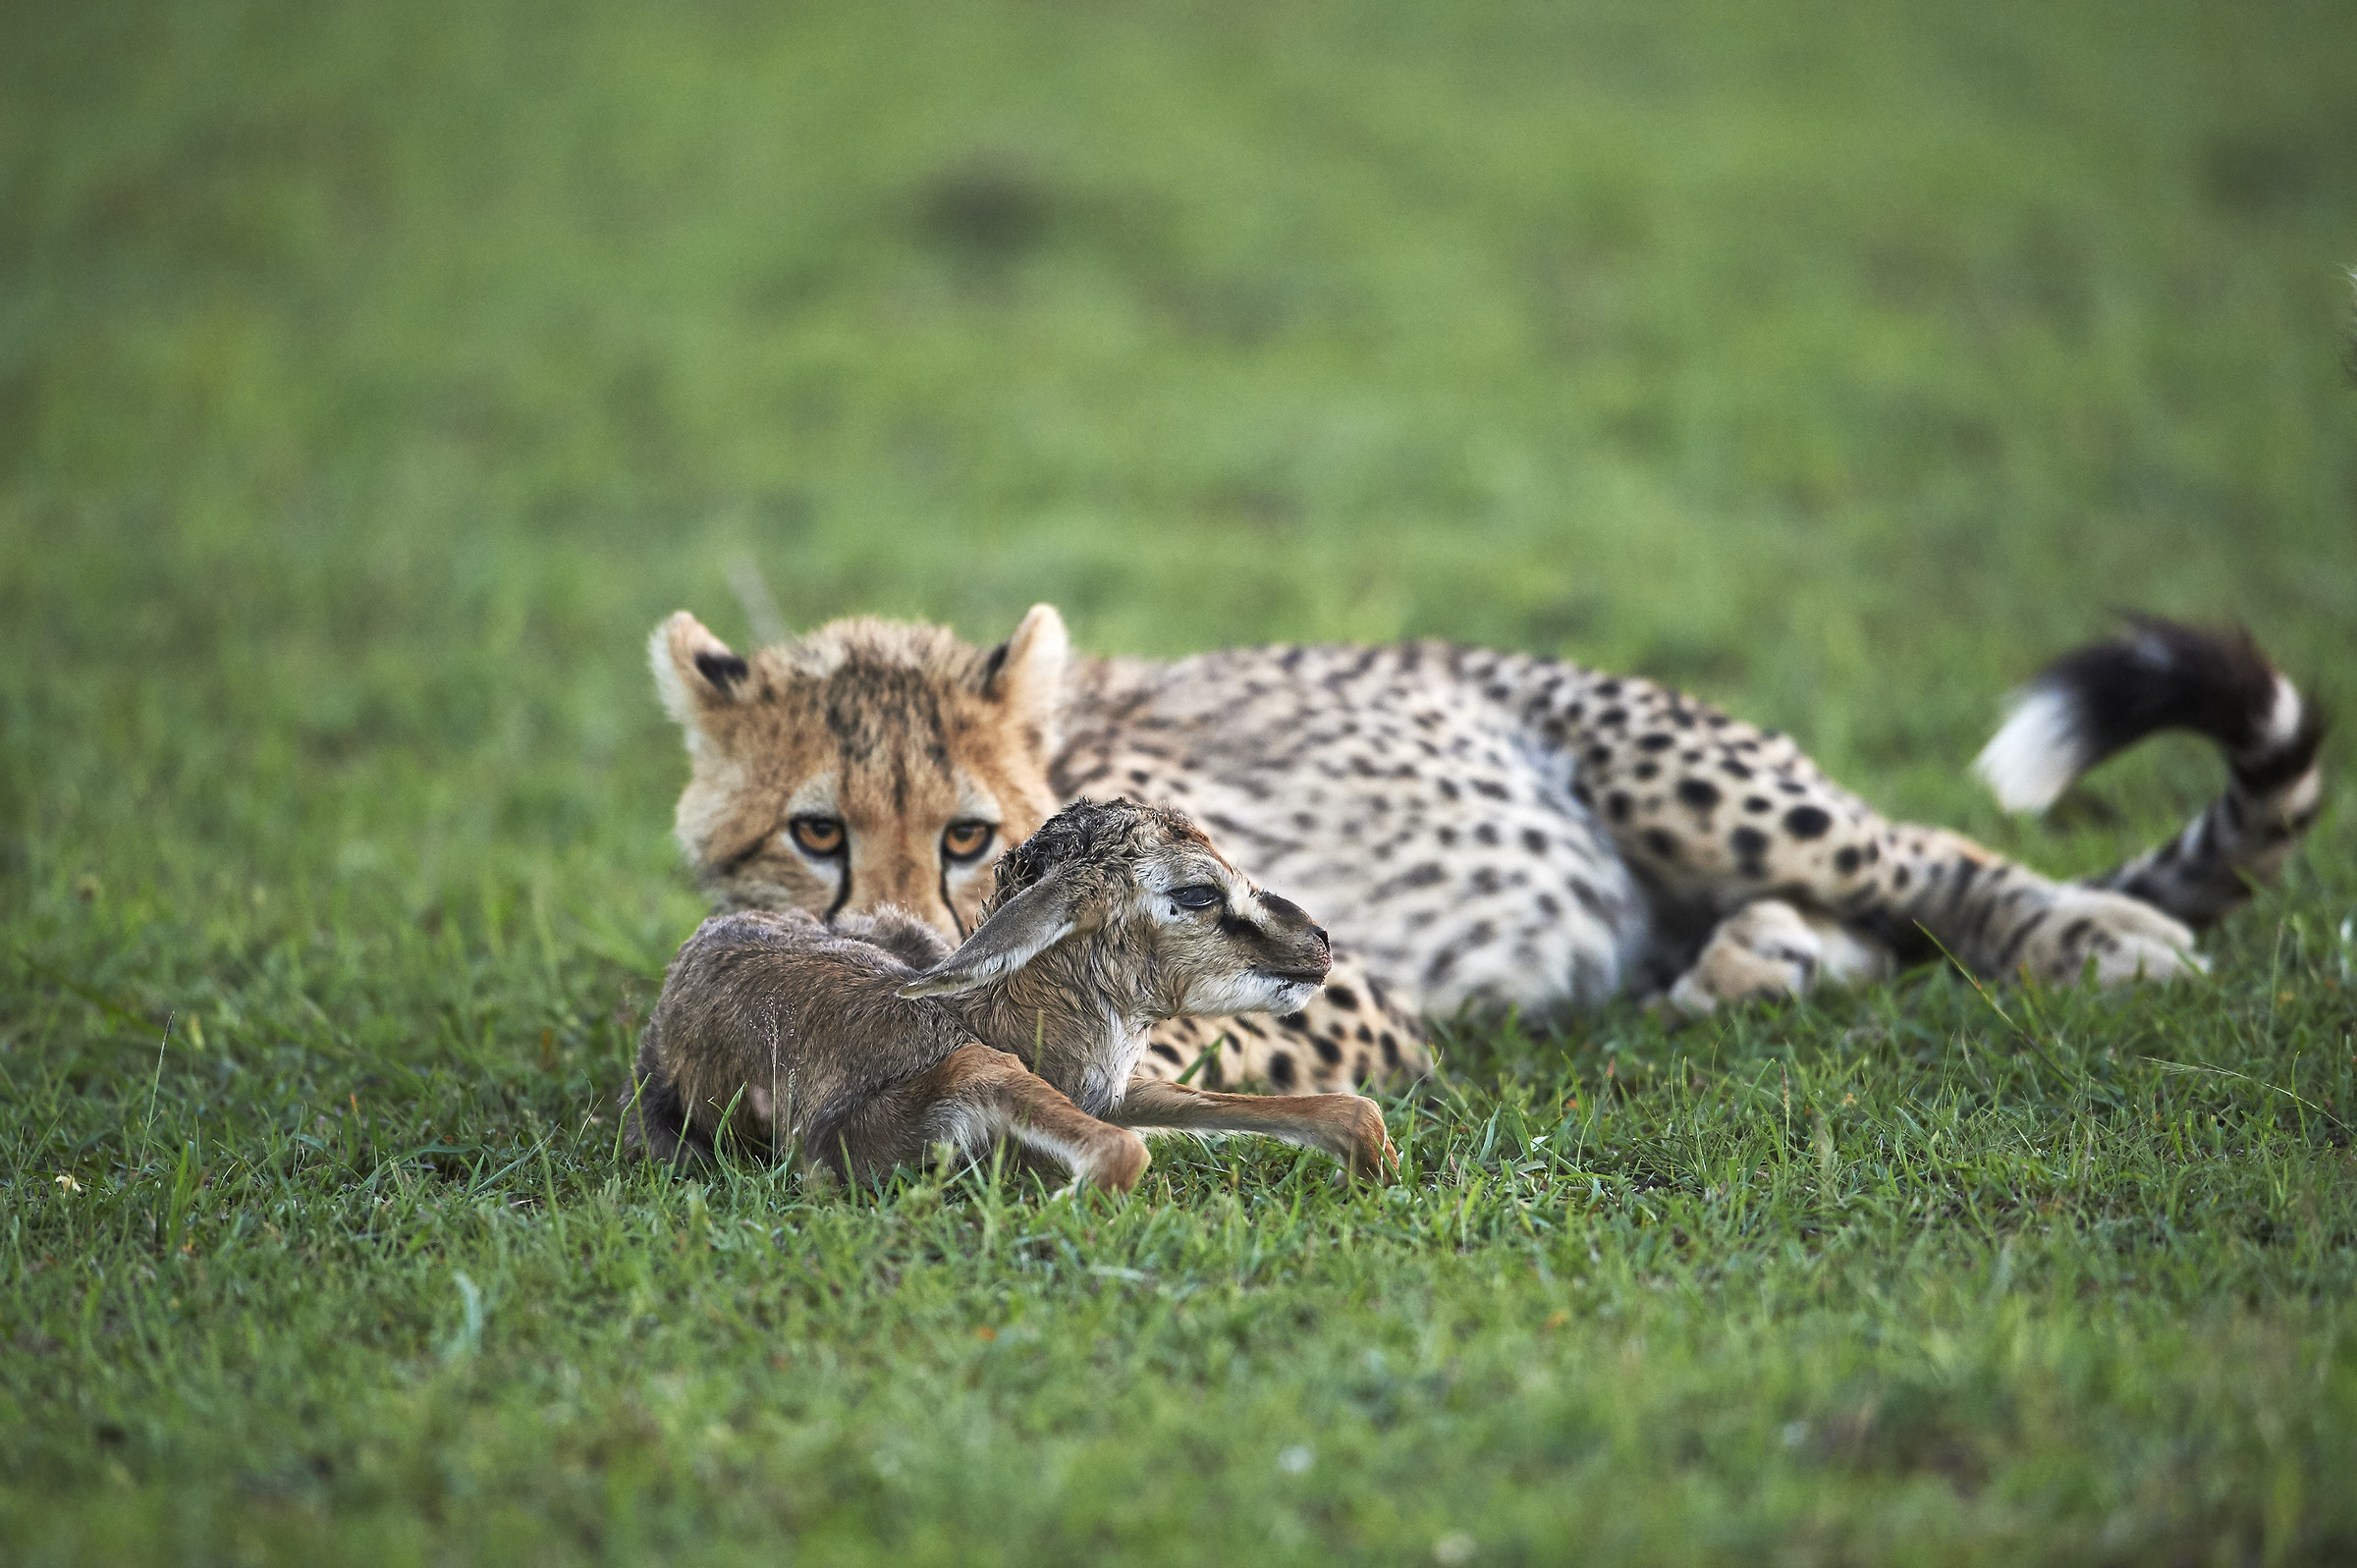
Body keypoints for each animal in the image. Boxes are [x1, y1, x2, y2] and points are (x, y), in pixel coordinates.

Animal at [650, 603, 2323, 1096]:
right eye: (815, 833)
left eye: (970, 835)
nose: (919, 953)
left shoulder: (1340, 986)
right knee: (1831, 931)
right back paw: (1752, 965)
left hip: (1682, 771)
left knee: (1913, 860)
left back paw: (2094, 934)